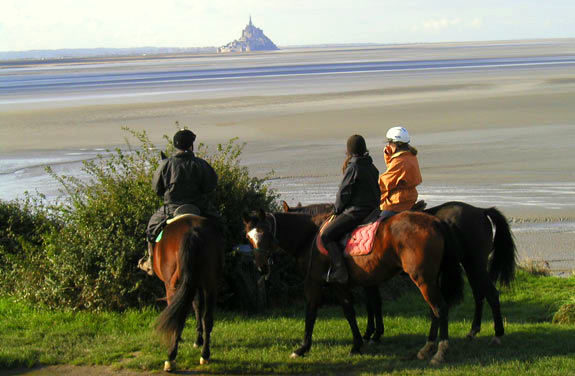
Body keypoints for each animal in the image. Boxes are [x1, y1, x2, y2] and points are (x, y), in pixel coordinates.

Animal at [153, 216, 225, 372]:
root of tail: (193, 232)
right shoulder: (196, 284)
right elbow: (197, 306)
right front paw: (198, 340)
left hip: (173, 286)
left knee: (179, 316)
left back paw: (171, 357)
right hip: (210, 284)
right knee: (207, 318)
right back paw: (205, 355)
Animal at [242, 210, 464, 362]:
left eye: (265, 233)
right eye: (249, 238)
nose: (261, 267)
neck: (309, 238)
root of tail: (435, 222)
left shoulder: (315, 283)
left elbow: (313, 312)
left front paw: (303, 348)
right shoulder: (340, 286)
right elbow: (350, 311)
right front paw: (358, 344)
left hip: (423, 279)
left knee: (440, 308)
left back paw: (440, 351)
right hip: (429, 280)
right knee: (434, 311)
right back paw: (427, 348)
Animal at [282, 201, 520, 346]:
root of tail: (480, 210)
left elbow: (372, 304)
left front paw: (371, 334)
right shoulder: (370, 279)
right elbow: (374, 304)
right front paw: (373, 333)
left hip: (474, 264)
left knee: (490, 294)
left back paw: (497, 334)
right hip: (471, 265)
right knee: (480, 295)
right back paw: (474, 330)